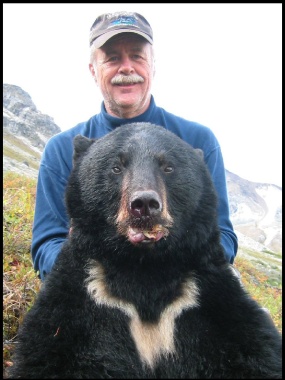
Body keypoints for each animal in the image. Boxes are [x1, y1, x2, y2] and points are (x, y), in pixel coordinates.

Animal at [7, 124, 280, 378]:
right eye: (116, 167)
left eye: (168, 167)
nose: (144, 204)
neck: (144, 268)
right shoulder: (83, 295)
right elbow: (51, 351)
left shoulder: (206, 296)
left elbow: (252, 348)